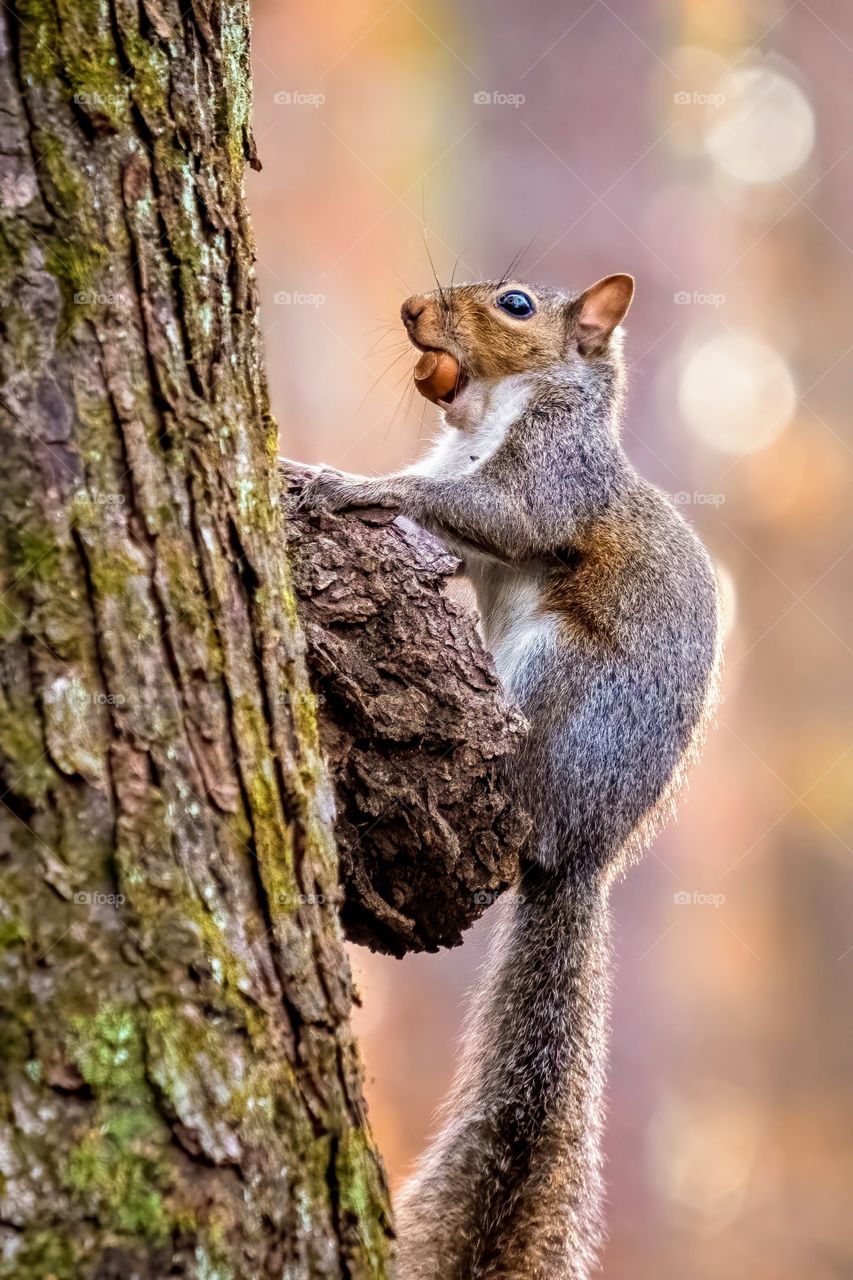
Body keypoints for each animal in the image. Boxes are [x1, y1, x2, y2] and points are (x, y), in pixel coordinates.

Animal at [289, 275, 722, 1274]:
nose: (413, 310)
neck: (493, 407)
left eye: (515, 304)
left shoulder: (548, 482)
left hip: (555, 676)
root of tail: (580, 851)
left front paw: (341, 483)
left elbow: (487, 511)